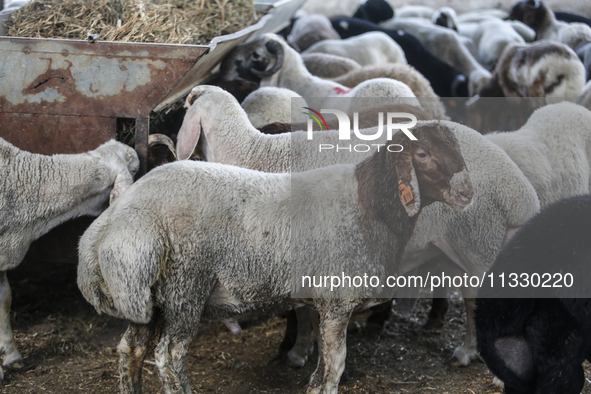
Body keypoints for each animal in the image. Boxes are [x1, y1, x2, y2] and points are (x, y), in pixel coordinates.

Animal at [77, 123, 472, 394]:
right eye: (422, 155)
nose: (468, 192)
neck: (371, 205)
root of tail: (120, 216)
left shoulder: (324, 305)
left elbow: (320, 371)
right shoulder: (338, 302)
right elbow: (333, 370)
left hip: (144, 293)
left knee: (130, 349)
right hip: (184, 286)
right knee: (169, 357)